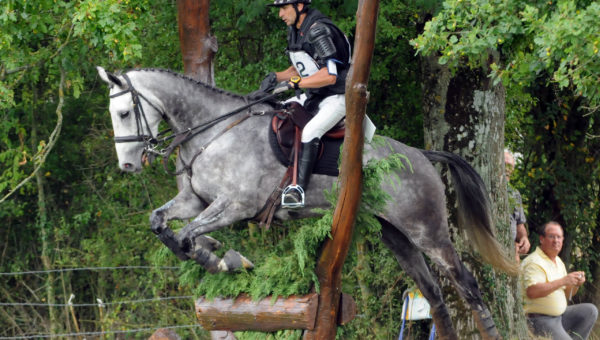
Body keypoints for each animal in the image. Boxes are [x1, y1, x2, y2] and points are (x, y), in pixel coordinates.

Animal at [97, 67, 516, 340]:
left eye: (124, 113)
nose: (128, 165)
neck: (214, 130)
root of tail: (422, 156)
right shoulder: (194, 199)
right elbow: (162, 224)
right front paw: (215, 252)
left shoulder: (236, 204)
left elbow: (184, 235)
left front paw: (222, 258)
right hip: (397, 236)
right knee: (435, 296)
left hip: (428, 231)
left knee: (467, 286)